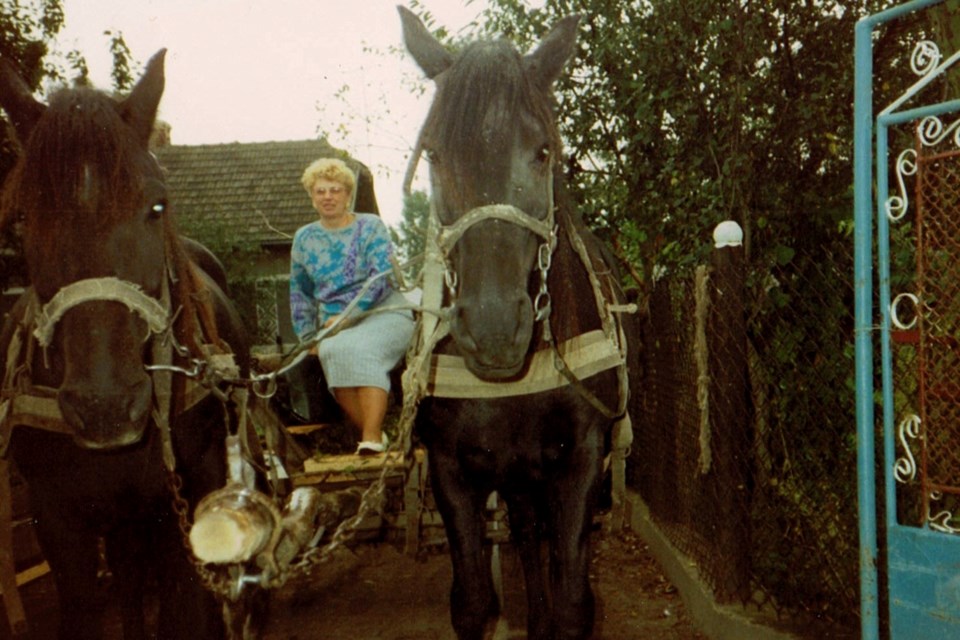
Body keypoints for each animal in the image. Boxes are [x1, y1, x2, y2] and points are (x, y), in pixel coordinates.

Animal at [0, 50, 251, 636]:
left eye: (156, 206)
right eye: (22, 218)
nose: (106, 406)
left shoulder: (187, 503)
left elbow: (188, 613)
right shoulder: (58, 521)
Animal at [402, 8, 632, 640]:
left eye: (543, 152)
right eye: (434, 154)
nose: (494, 327)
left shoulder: (580, 463)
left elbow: (573, 598)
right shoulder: (452, 470)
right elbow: (473, 603)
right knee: (528, 539)